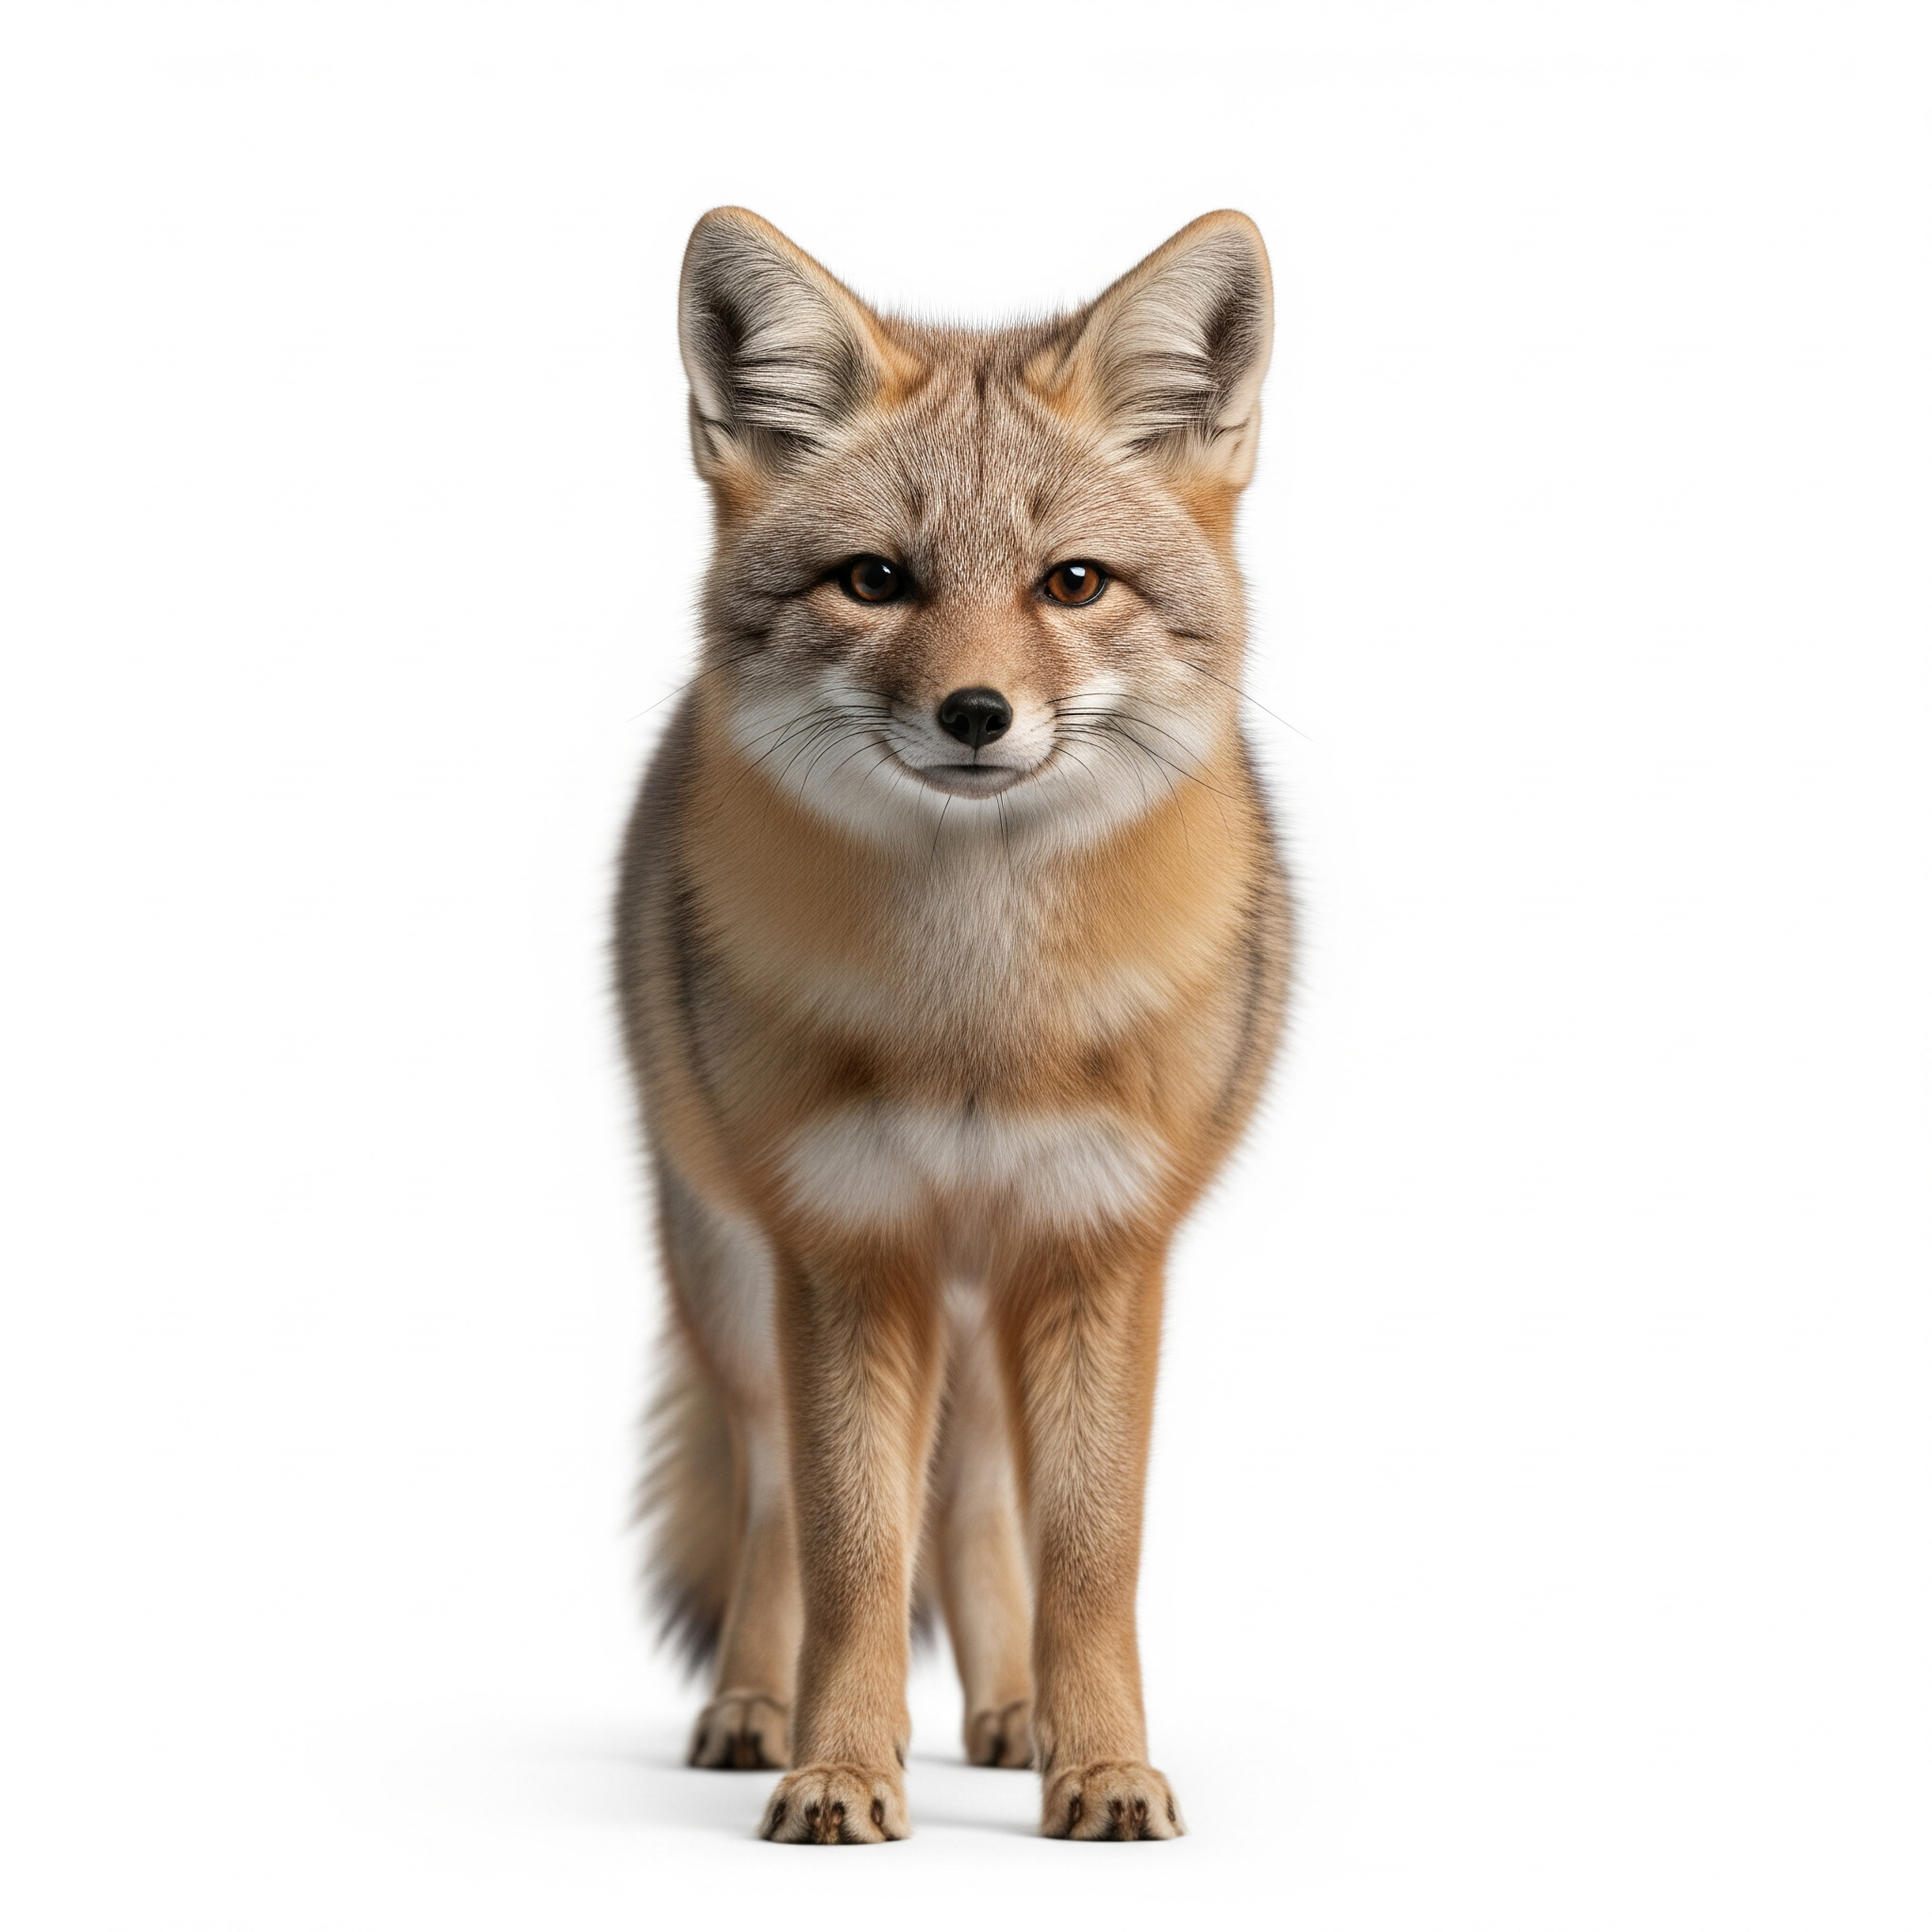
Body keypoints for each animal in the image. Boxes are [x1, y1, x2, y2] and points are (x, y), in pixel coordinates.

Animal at [615, 206, 1290, 1844]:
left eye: (1072, 583)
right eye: (875, 579)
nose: (977, 714)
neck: (980, 1026)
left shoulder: (1102, 1248)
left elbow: (1090, 1555)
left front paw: (1101, 1765)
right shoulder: (848, 1251)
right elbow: (854, 1555)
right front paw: (840, 1768)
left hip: (990, 1304)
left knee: (980, 1499)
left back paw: (1012, 1713)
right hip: (739, 1283)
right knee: (775, 1502)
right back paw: (754, 1708)